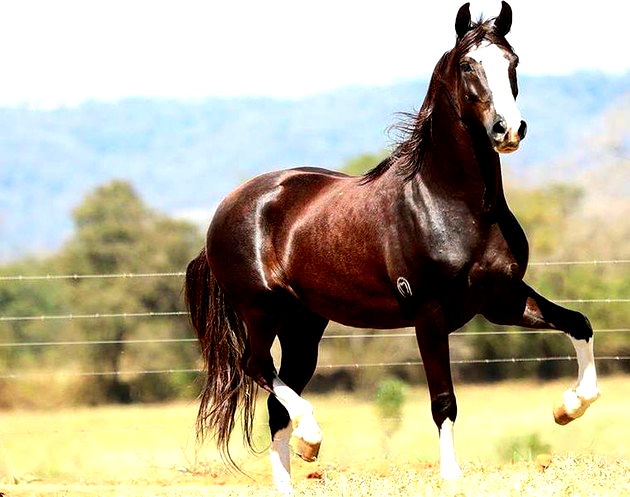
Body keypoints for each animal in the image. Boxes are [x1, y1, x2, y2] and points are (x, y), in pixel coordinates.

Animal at [184, 2, 604, 492]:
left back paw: (297, 466)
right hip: (261, 310)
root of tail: (227, 208)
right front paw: (451, 475)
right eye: (467, 65)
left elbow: (578, 323)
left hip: (304, 323)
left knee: (275, 404)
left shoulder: (502, 301)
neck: (452, 204)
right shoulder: (429, 314)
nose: (509, 130)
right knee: (257, 369)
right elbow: (444, 400)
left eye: (512, 61)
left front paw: (567, 408)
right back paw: (313, 436)